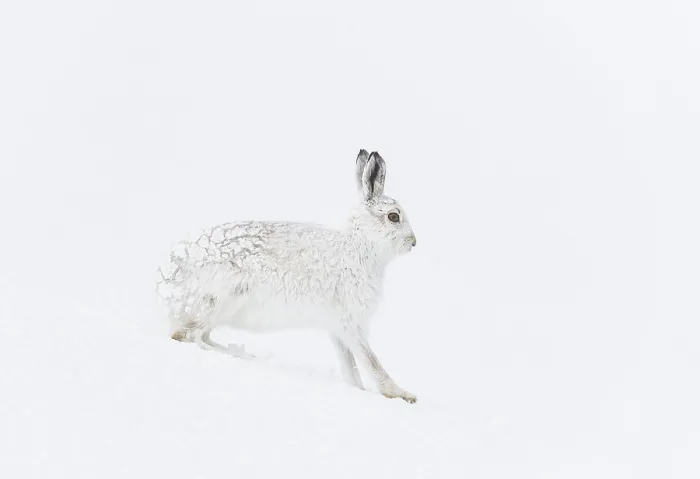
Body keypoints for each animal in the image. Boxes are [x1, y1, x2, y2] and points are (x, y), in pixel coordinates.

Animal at [156, 150, 418, 403]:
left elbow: (351, 369)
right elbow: (371, 362)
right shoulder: (349, 323)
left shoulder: (338, 330)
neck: (360, 244)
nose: (414, 242)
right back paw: (237, 356)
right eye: (393, 216)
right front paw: (402, 395)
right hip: (225, 297)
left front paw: (359, 390)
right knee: (186, 335)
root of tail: (166, 285)